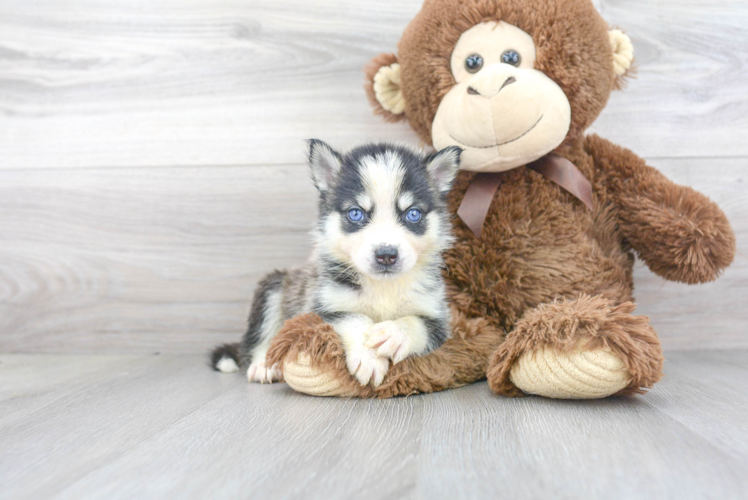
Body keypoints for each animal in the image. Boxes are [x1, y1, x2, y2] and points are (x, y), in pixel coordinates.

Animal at [210, 141, 462, 386]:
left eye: (413, 214)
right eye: (355, 214)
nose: (386, 255)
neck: (382, 286)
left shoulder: (439, 318)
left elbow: (416, 322)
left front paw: (394, 333)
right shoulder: (320, 309)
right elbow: (353, 317)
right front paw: (368, 357)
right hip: (273, 288)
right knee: (260, 338)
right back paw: (265, 365)